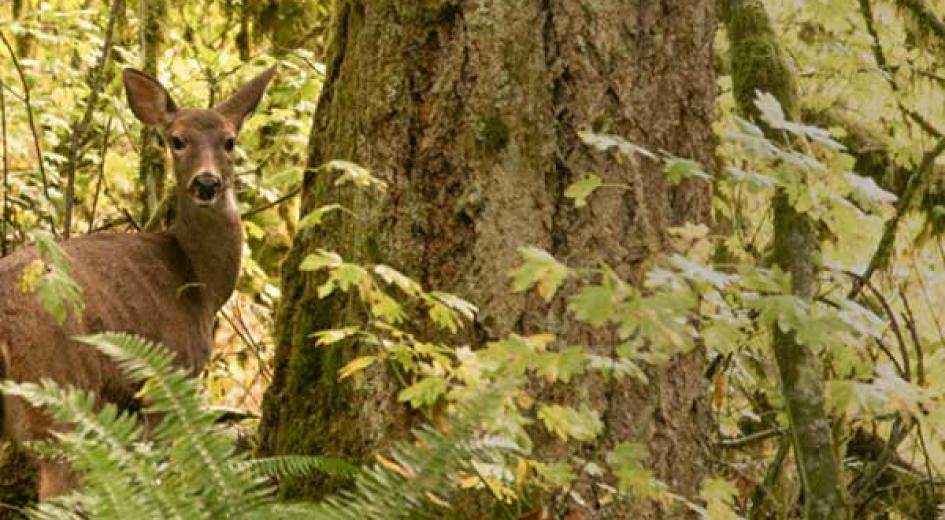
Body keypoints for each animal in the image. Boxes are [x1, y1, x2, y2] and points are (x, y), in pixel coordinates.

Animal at [0, 65, 276, 498]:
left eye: (230, 141)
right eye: (176, 140)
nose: (207, 183)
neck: (200, 282)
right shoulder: (169, 373)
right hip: (59, 393)